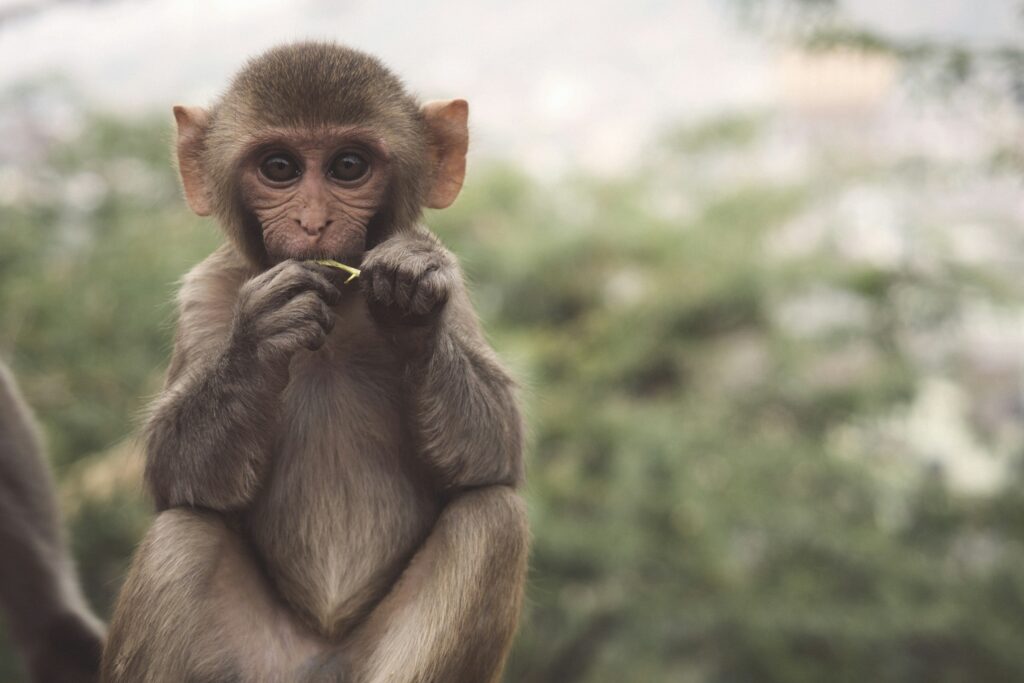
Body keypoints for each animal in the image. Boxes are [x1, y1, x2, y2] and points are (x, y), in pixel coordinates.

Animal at [100, 42, 529, 683]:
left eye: (348, 166)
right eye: (279, 168)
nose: (313, 223)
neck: (341, 312)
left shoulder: (456, 292)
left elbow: (495, 450)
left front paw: (410, 303)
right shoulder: (205, 295)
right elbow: (176, 474)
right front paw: (261, 337)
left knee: (492, 519)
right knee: (183, 535)